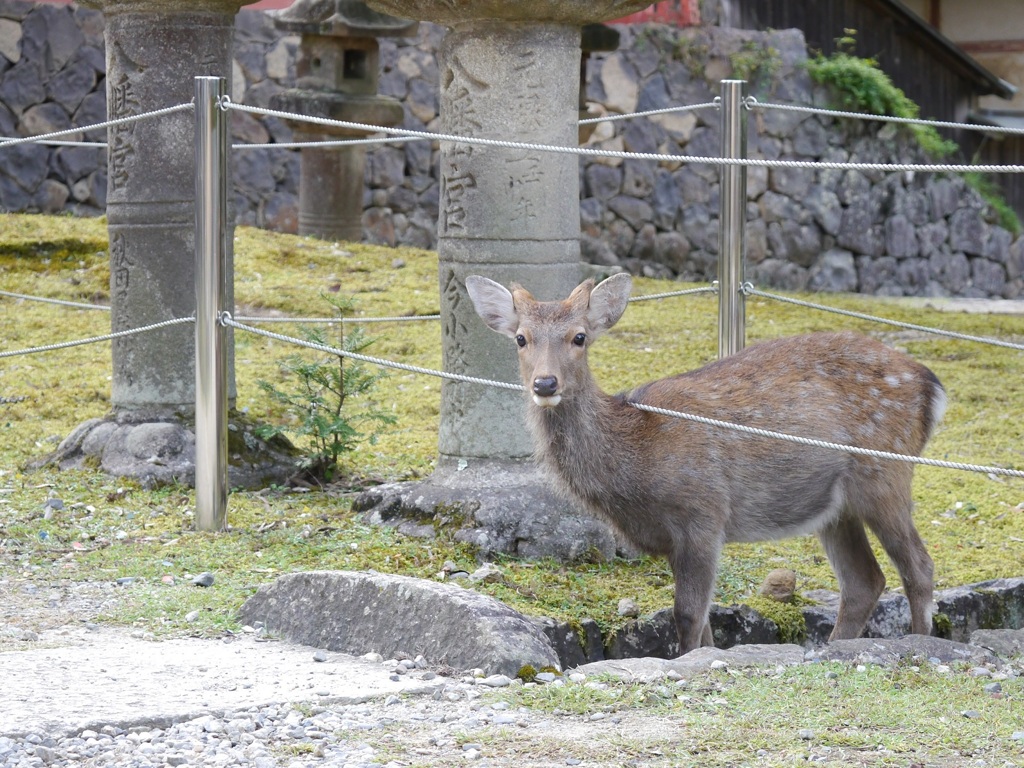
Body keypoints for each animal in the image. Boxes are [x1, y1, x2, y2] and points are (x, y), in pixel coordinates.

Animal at [464, 274, 942, 651]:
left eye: (579, 337)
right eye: (521, 338)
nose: (545, 383)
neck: (636, 458)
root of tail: (930, 387)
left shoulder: (703, 513)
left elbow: (688, 615)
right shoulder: (675, 537)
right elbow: (705, 621)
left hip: (886, 470)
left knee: (918, 567)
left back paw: (922, 642)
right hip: (836, 506)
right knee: (864, 580)